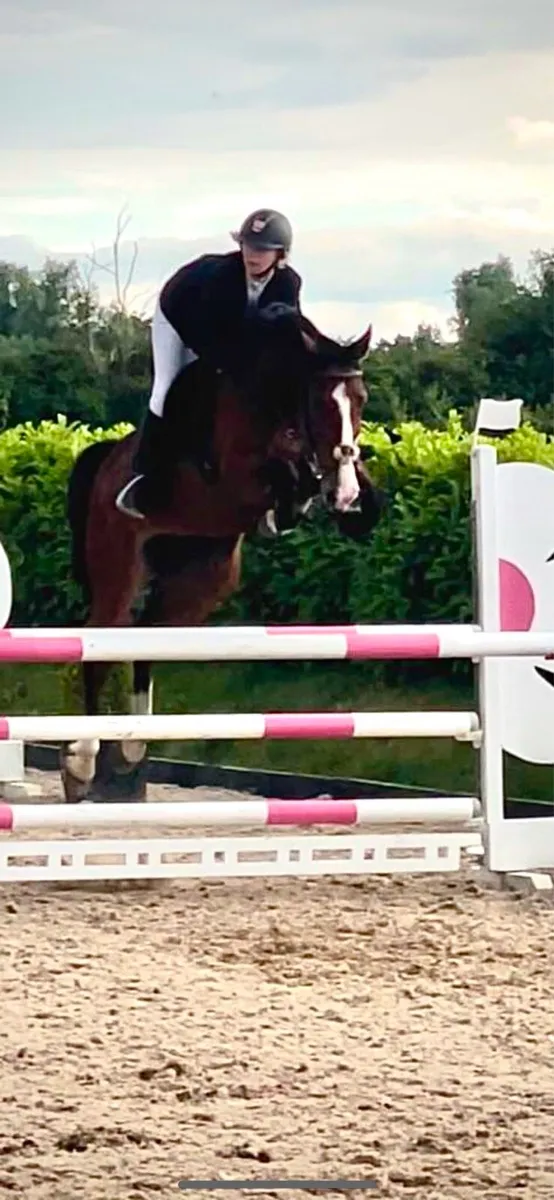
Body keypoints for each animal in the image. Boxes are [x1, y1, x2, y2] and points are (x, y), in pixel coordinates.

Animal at [61, 303, 385, 802]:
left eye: (360, 399)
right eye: (321, 403)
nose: (345, 494)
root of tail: (106, 462)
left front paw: (348, 502)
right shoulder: (235, 479)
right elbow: (283, 472)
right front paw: (299, 496)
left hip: (202, 581)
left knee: (145, 640)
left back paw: (132, 751)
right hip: (119, 565)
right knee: (101, 643)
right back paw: (81, 762)